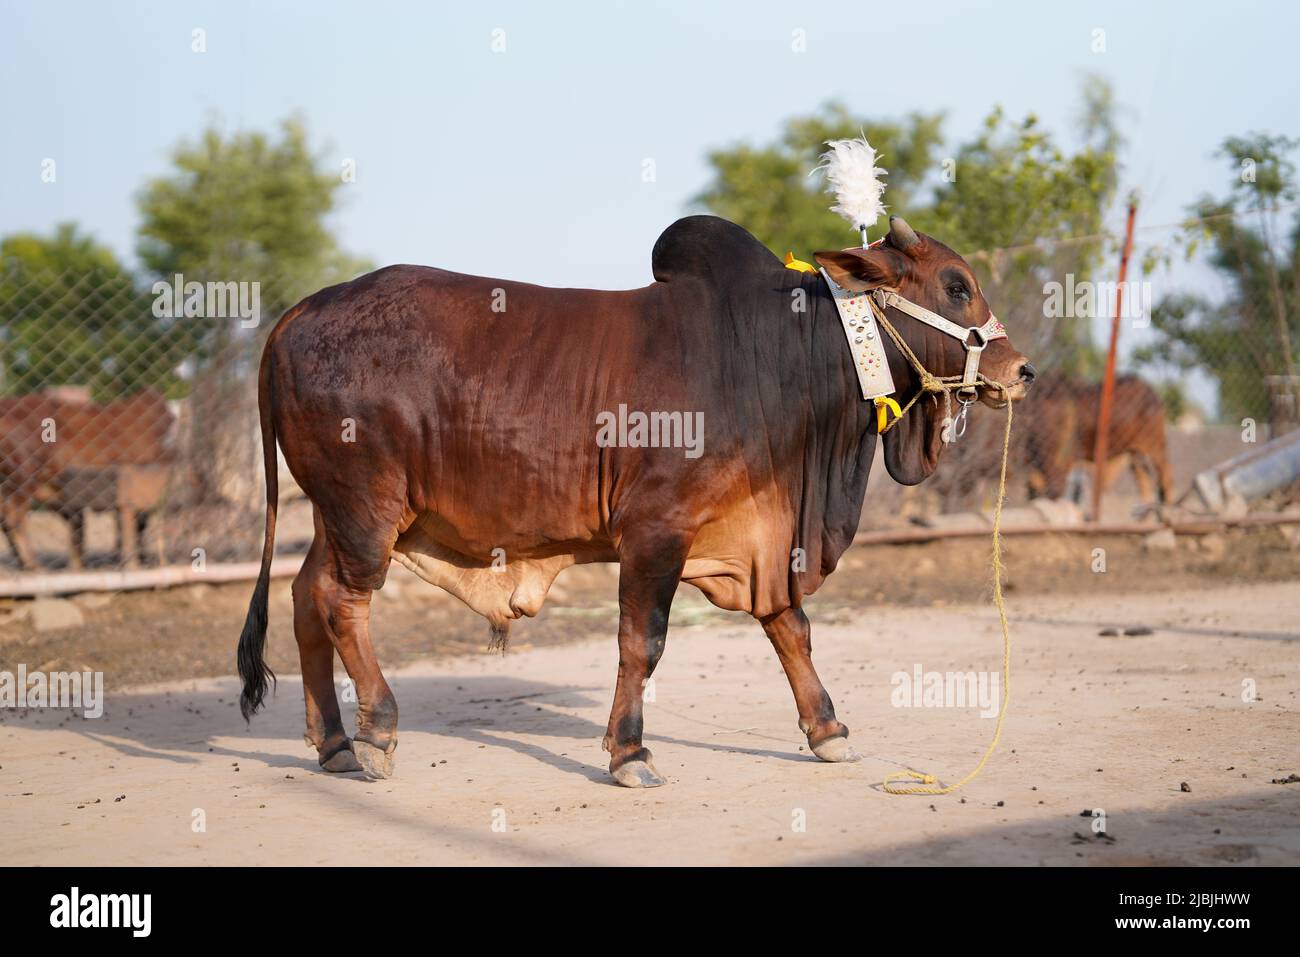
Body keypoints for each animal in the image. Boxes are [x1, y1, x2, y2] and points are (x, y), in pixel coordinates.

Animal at [1024, 371, 1180, 509]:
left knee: (1166, 476)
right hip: (1134, 454)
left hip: (1155, 446)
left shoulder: (1059, 469)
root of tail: (1150, 393)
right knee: (1145, 485)